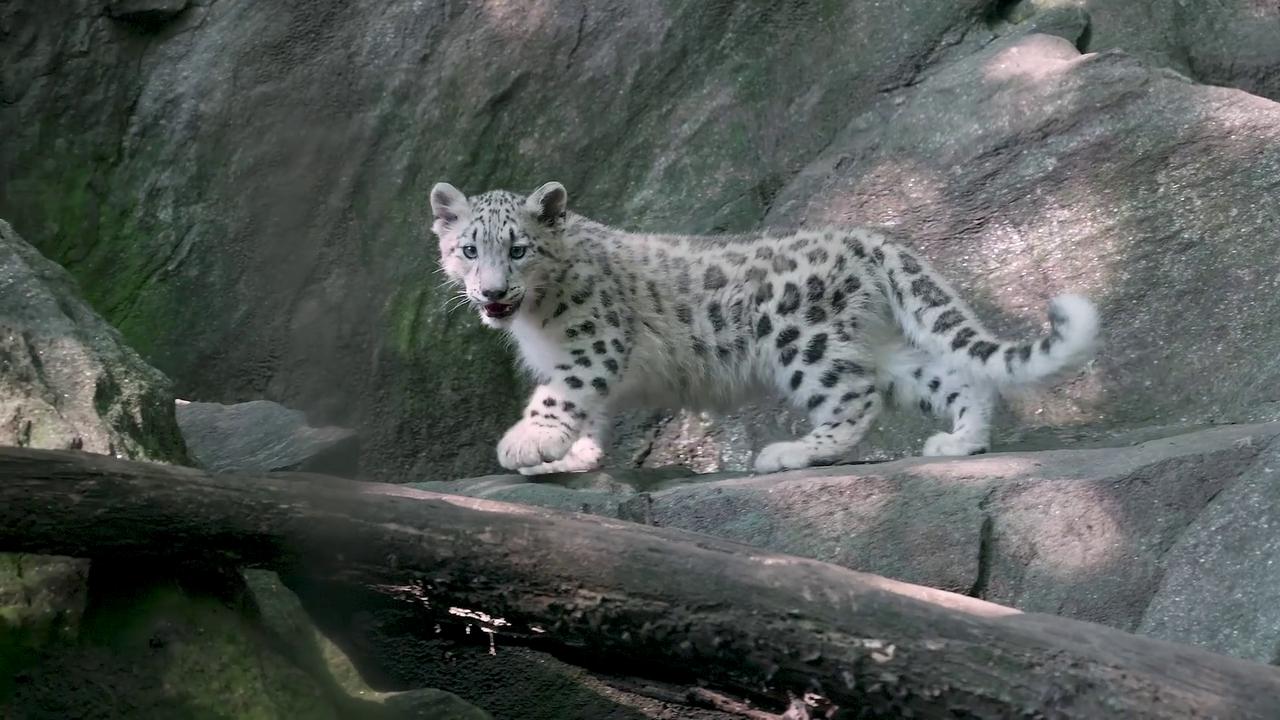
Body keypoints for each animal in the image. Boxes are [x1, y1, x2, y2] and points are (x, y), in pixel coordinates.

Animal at [430, 180, 1099, 475]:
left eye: (518, 249)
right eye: (469, 249)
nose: (492, 292)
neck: (537, 321)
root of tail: (863, 237)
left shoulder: (593, 342)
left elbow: (561, 393)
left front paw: (529, 442)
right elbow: (587, 410)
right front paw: (573, 456)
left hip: (803, 340)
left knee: (853, 398)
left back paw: (793, 452)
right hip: (875, 346)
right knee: (949, 378)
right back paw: (962, 442)